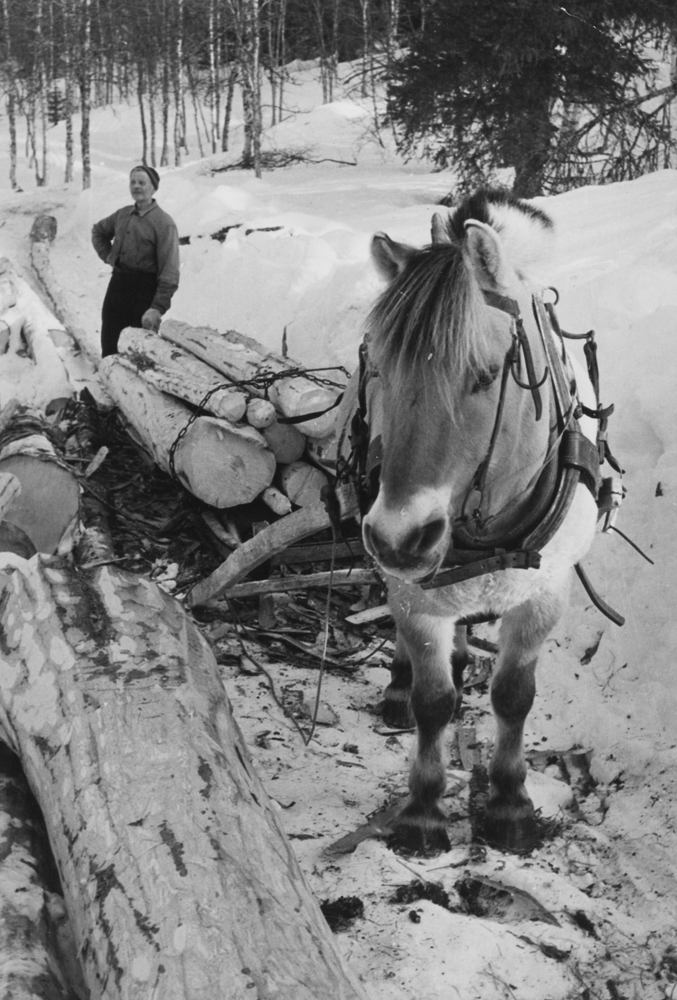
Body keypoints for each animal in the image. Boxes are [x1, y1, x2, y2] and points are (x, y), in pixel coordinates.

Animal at [340, 188, 600, 852]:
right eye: (379, 368)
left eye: (484, 375)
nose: (398, 536)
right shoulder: (414, 593)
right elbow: (433, 700)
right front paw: (424, 810)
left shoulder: (544, 595)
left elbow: (513, 696)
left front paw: (509, 801)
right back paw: (400, 684)